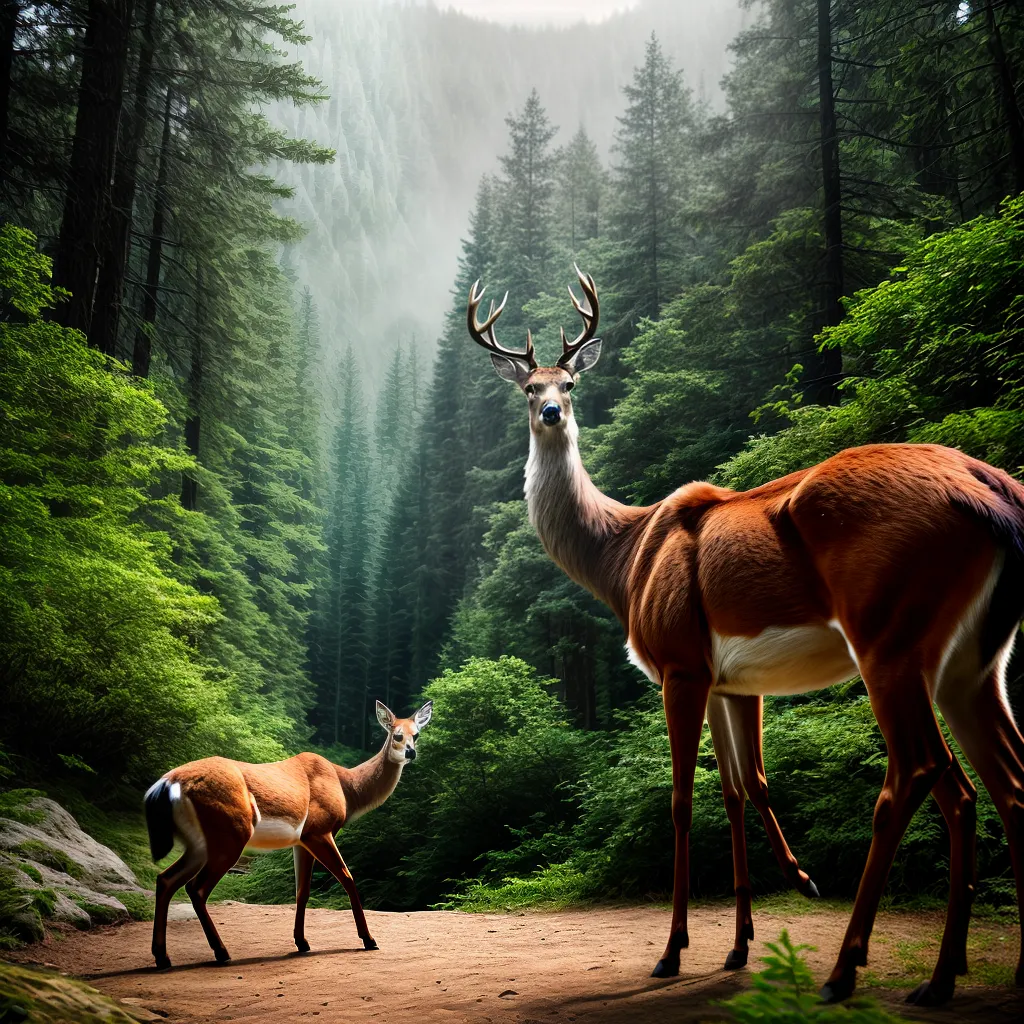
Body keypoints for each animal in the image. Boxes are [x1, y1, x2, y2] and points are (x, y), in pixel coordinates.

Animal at [143, 700, 432, 969]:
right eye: (396, 734)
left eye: (417, 734)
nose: (411, 751)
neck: (347, 787)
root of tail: (167, 782)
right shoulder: (319, 829)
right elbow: (348, 878)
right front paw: (368, 939)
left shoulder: (301, 841)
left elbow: (301, 890)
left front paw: (302, 942)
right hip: (230, 835)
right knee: (196, 888)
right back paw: (221, 952)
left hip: (200, 843)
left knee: (166, 879)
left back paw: (163, 957)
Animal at [466, 266, 1024, 1006]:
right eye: (530, 387)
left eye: (571, 384)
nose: (552, 413)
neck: (624, 559)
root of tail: (993, 488)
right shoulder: (731, 682)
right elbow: (741, 788)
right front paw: (741, 941)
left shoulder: (679, 664)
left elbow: (682, 801)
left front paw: (676, 948)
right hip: (976, 657)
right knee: (1002, 781)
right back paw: (964, 973)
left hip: (890, 633)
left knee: (921, 774)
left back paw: (852, 970)